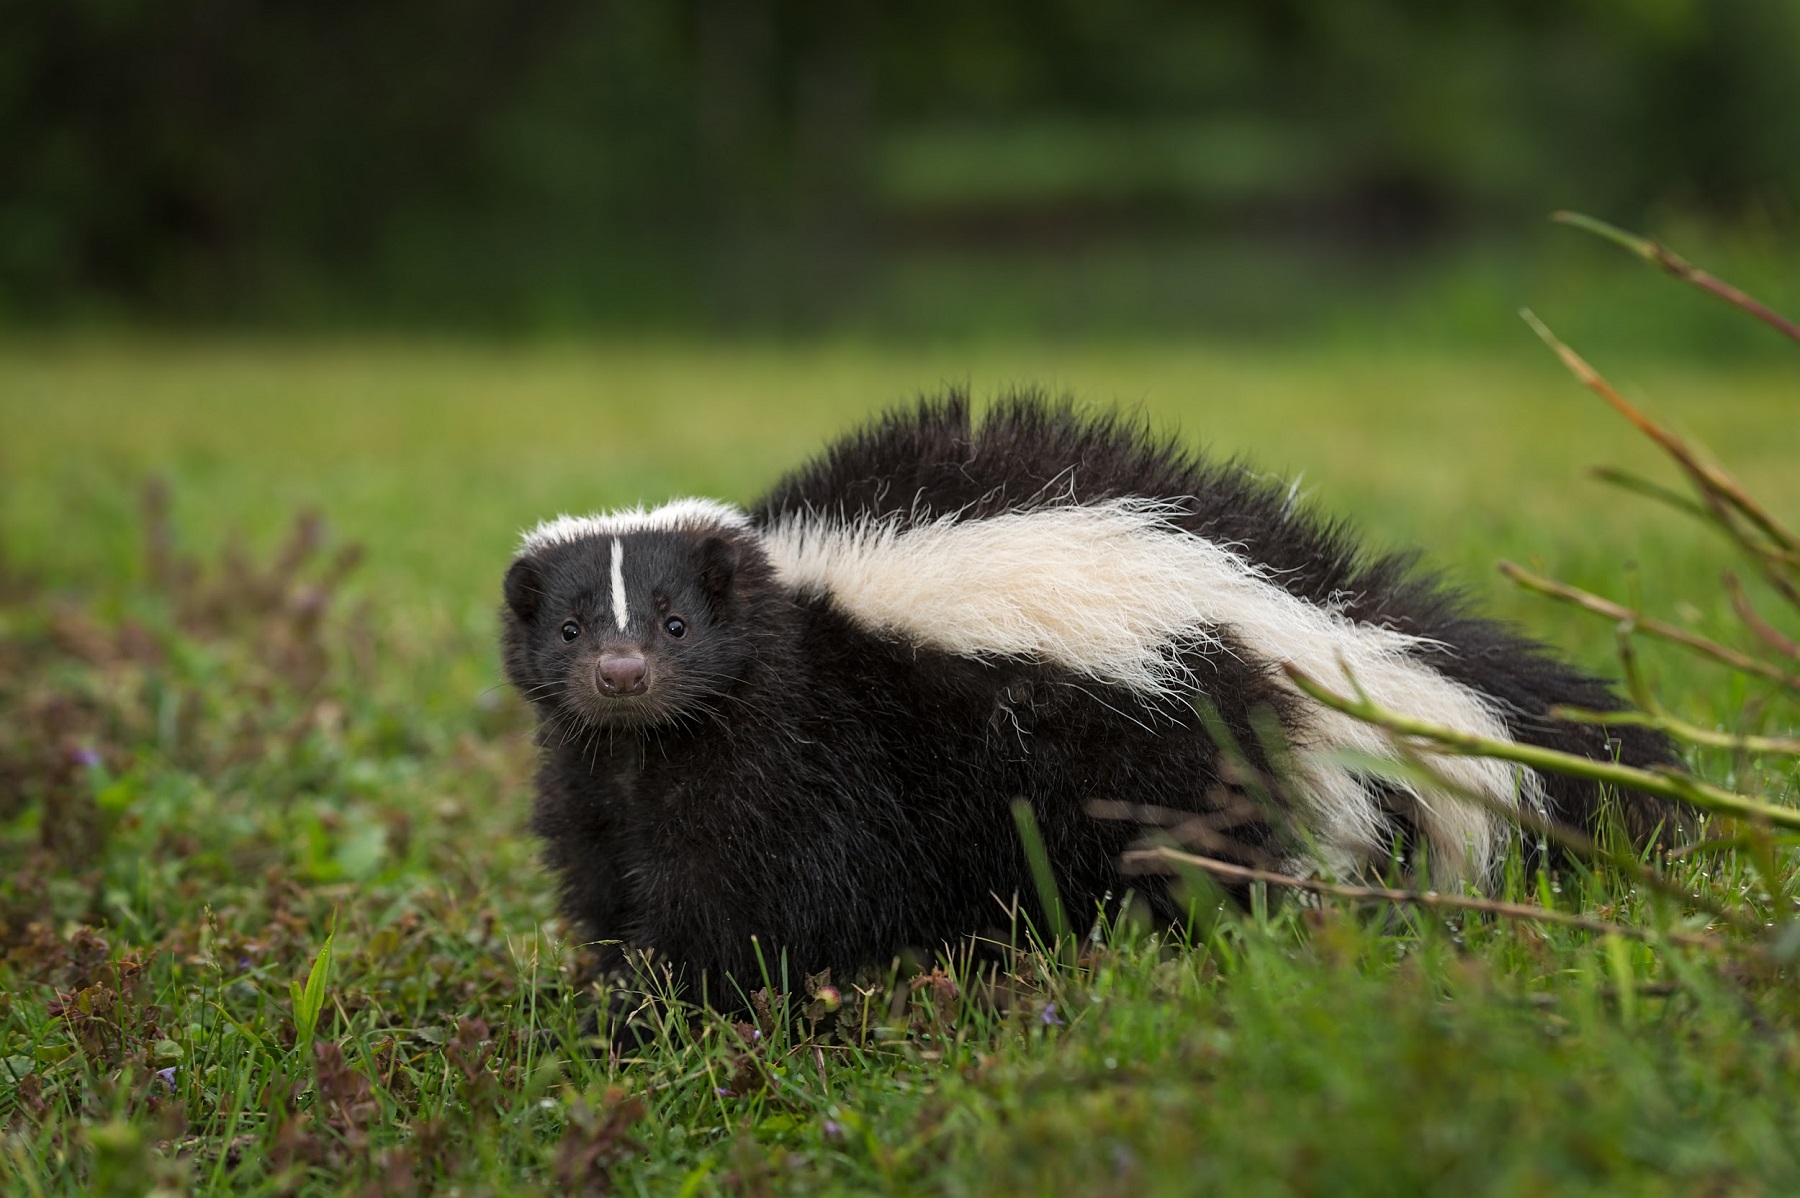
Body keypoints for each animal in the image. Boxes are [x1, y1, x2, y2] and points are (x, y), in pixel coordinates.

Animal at [504, 393, 1670, 1000]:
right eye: (569, 630)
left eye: (676, 626)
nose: (621, 676)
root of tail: (1307, 611)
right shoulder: (605, 779)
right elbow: (608, 873)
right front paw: (615, 986)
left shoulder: (803, 751)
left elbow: (755, 894)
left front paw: (676, 1001)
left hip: (1165, 740)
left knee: (1196, 866)